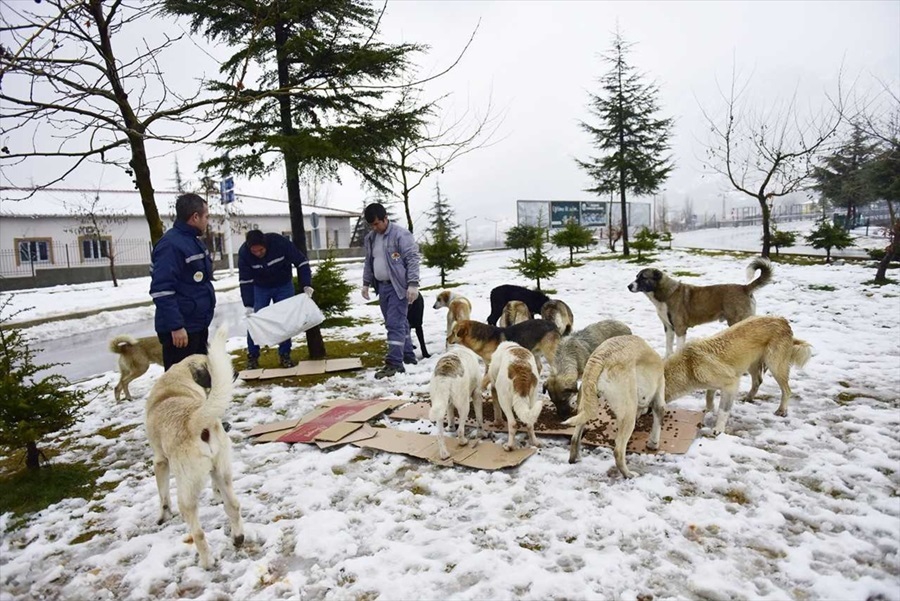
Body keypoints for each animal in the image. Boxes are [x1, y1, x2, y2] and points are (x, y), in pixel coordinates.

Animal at [145, 326, 244, 568]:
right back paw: (238, 537)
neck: (176, 383)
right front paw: (216, 497)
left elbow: (163, 495)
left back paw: (207, 562)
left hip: (187, 492)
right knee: (234, 506)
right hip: (223, 472)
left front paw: (163, 517)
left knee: (198, 532)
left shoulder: (160, 461)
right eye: (210, 367)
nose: (236, 373)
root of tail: (194, 421)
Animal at [568, 332, 664, 478]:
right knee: (618, 450)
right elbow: (658, 417)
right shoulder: (659, 396)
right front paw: (653, 444)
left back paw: (575, 458)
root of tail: (601, 357)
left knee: (575, 438)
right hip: (628, 413)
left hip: (585, 405)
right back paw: (629, 474)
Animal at [624, 255, 772, 354]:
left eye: (643, 277)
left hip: (737, 321)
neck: (666, 293)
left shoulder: (680, 329)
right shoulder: (668, 328)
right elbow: (668, 348)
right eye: (636, 276)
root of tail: (744, 288)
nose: (629, 286)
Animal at [664, 314, 812, 436]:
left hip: (775, 366)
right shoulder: (712, 384)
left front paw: (718, 429)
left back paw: (781, 410)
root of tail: (783, 320)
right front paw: (708, 411)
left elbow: (723, 410)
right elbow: (709, 398)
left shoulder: (731, 384)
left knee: (787, 390)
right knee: (758, 381)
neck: (688, 364)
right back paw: (749, 398)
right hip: (752, 364)